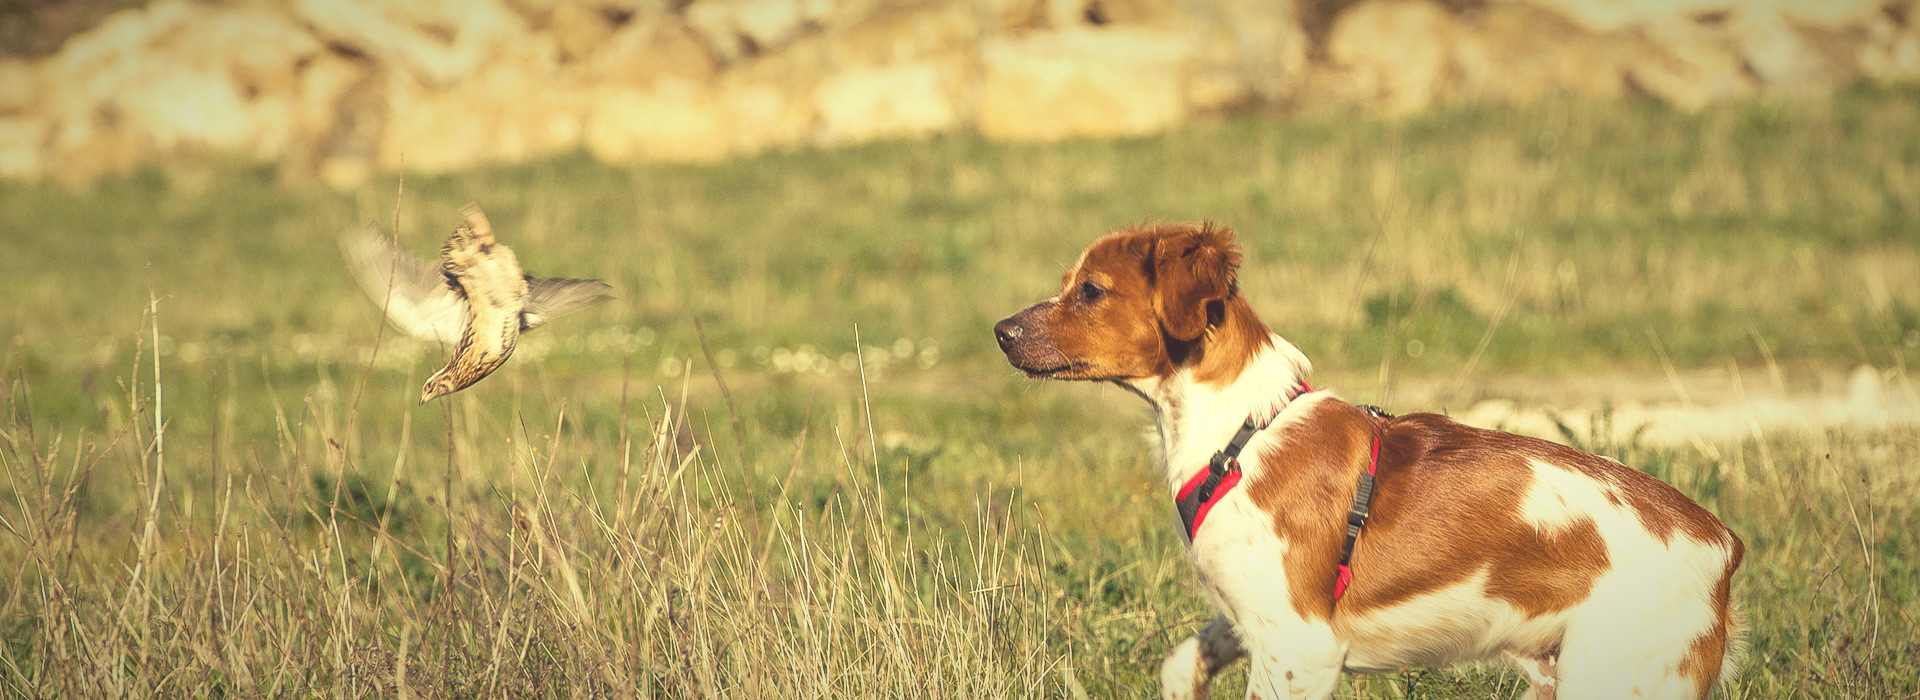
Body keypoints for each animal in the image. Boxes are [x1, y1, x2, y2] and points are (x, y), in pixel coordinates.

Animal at [998, 223, 1751, 698]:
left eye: (1090, 290)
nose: (999, 330)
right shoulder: (1262, 616)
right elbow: (1183, 661)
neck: (1237, 435)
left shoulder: (1301, 647)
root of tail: (1720, 541)